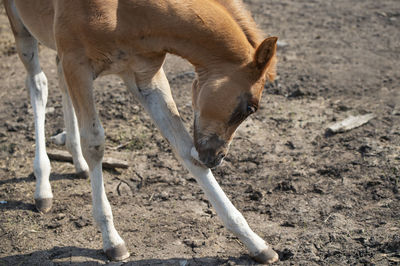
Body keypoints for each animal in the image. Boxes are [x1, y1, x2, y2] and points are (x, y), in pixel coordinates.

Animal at [3, 0, 278, 264]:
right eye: (250, 107)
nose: (216, 158)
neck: (124, 13)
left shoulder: (145, 77)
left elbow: (183, 148)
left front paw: (255, 243)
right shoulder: (77, 63)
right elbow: (94, 143)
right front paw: (112, 240)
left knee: (60, 79)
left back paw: (78, 161)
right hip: (21, 26)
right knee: (38, 84)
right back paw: (43, 186)